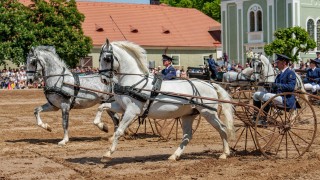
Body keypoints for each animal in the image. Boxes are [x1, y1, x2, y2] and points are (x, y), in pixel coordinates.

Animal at [97, 39, 235, 160]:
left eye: (107, 58)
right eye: (99, 58)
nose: (103, 79)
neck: (134, 82)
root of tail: (210, 84)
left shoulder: (132, 111)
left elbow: (119, 131)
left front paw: (108, 153)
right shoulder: (121, 107)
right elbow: (101, 107)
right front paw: (102, 126)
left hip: (208, 112)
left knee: (222, 129)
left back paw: (224, 153)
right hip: (188, 115)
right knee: (187, 136)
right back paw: (174, 156)